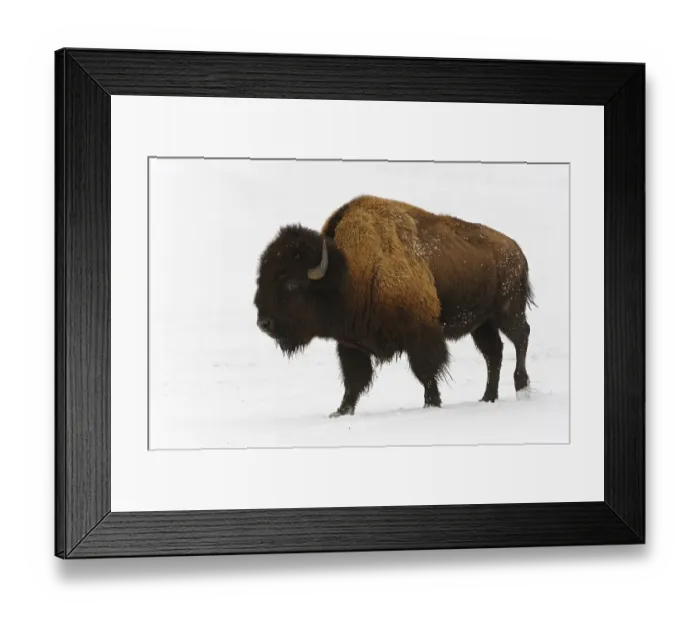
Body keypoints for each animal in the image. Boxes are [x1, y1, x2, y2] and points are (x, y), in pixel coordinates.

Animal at [254, 195, 534, 418]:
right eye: (262, 278)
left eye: (292, 284)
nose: (264, 323)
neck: (347, 270)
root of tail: (517, 250)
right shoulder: (351, 345)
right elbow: (353, 380)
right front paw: (341, 412)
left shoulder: (421, 334)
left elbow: (426, 371)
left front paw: (431, 404)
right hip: (482, 324)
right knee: (494, 353)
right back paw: (488, 397)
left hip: (508, 312)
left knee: (520, 338)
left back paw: (521, 388)